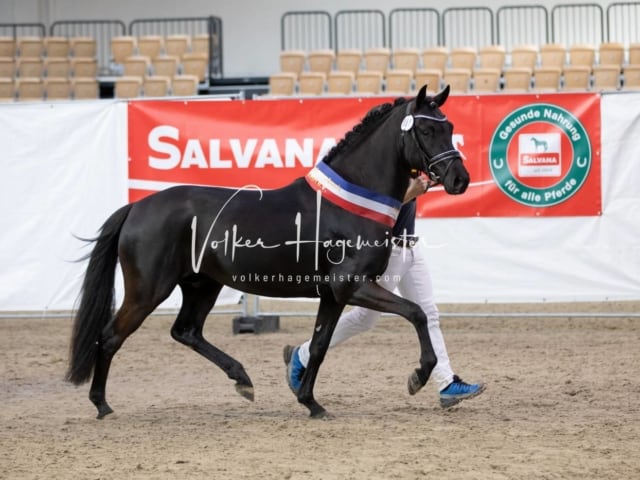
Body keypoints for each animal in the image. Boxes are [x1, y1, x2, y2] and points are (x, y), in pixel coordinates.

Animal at [67, 84, 470, 418]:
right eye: (426, 130)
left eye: (449, 126)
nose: (460, 179)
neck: (348, 204)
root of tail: (137, 207)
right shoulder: (352, 286)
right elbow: (417, 313)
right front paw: (418, 376)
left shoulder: (333, 295)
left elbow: (320, 344)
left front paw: (311, 403)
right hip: (148, 290)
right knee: (112, 335)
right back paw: (102, 405)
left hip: (201, 285)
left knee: (186, 331)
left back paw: (242, 380)